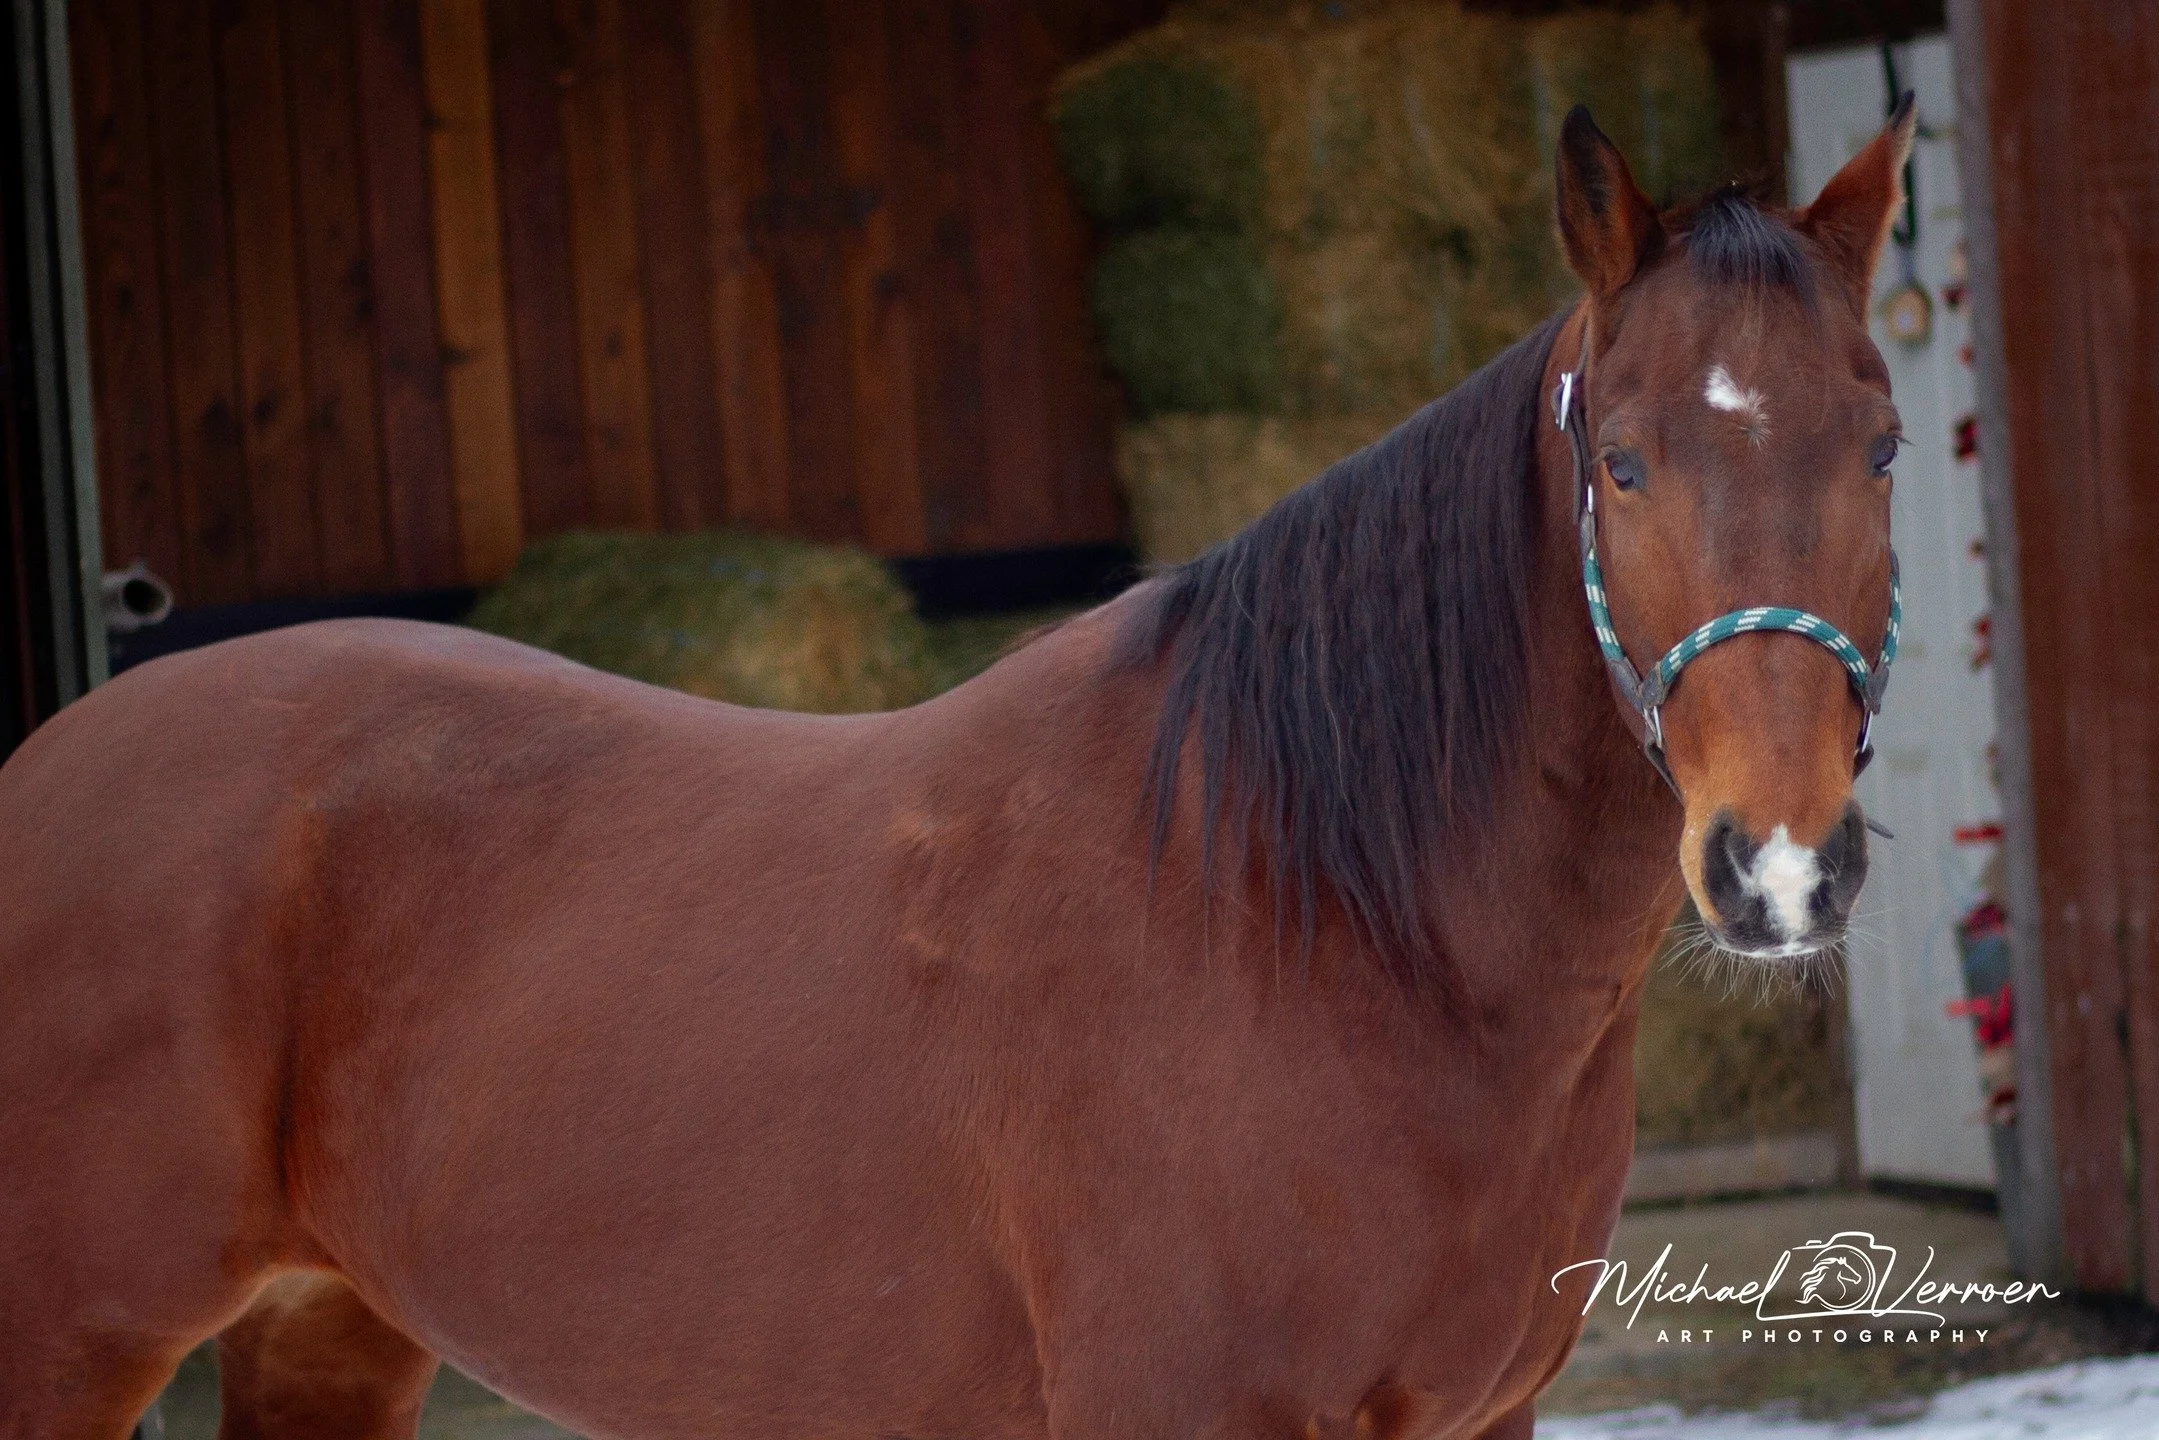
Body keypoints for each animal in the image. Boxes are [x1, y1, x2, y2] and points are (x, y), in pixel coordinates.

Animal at [1, 101, 1914, 1440]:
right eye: (1621, 462)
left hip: (325, 1330)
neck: (1311, 919)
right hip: (77, 1340)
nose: (1778, 866)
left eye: (1884, 446)